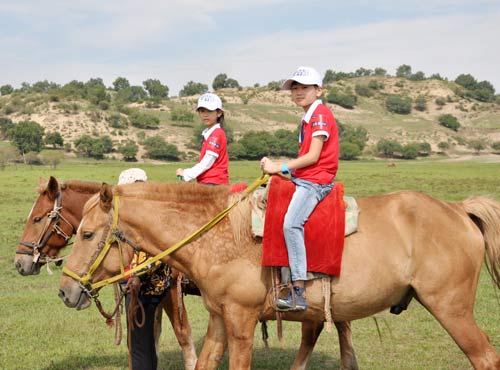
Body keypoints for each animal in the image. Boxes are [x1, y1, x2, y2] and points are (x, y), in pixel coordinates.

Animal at [56, 182, 498, 370]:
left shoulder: (242, 322)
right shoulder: (219, 320)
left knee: (485, 357)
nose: (64, 291)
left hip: (452, 309)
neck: (219, 234)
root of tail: (457, 210)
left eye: (88, 234)